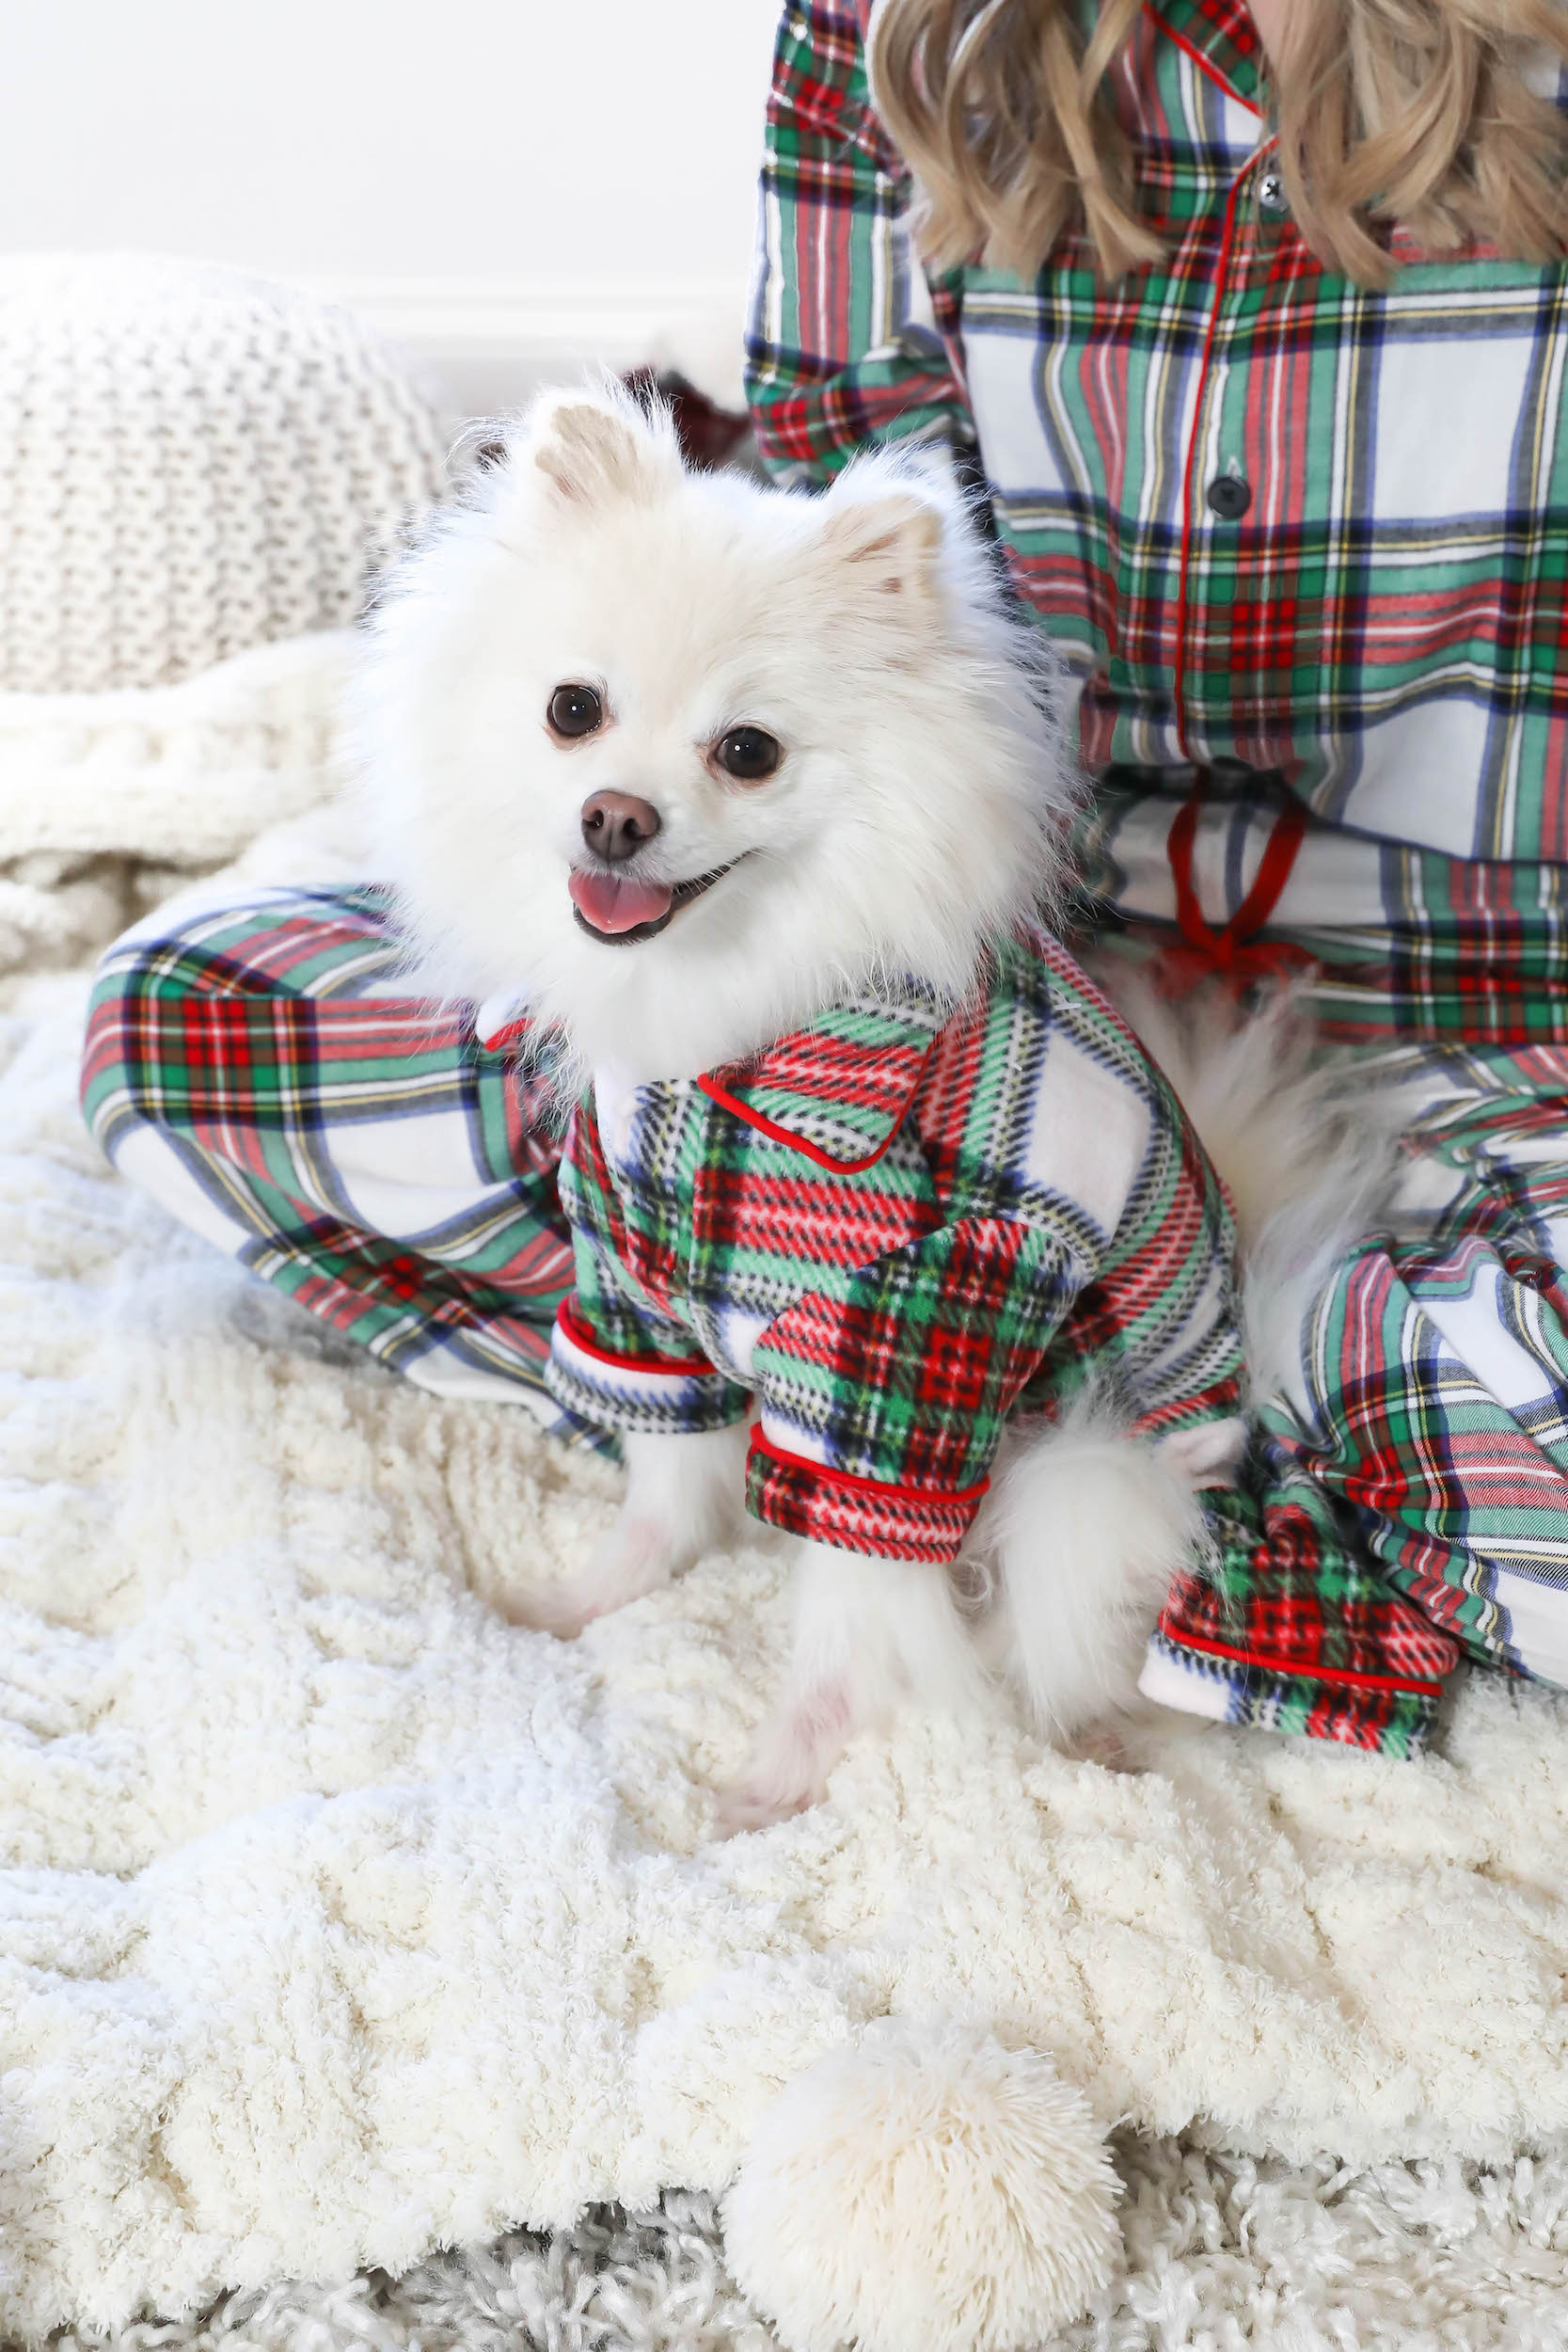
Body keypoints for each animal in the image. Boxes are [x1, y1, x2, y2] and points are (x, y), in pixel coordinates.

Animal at [352, 386, 1372, 1825]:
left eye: (747, 751)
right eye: (571, 708)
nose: (614, 817)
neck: (723, 1045)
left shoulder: (896, 1356)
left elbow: (850, 1609)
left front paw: (772, 1777)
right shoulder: (638, 1291)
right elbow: (664, 1488)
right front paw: (591, 1597)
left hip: (1082, 1480)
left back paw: (1096, 1735)